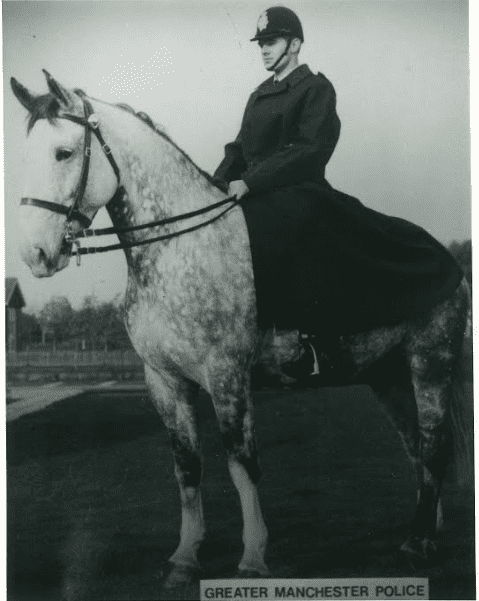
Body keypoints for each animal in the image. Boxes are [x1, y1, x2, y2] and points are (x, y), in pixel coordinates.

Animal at [11, 70, 472, 584]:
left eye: (64, 152)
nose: (35, 255)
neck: (179, 247)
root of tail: (446, 259)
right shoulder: (164, 380)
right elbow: (187, 468)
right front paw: (185, 556)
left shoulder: (226, 374)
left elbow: (241, 464)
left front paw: (252, 558)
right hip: (388, 375)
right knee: (417, 447)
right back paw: (429, 530)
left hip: (431, 362)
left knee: (434, 445)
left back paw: (418, 543)